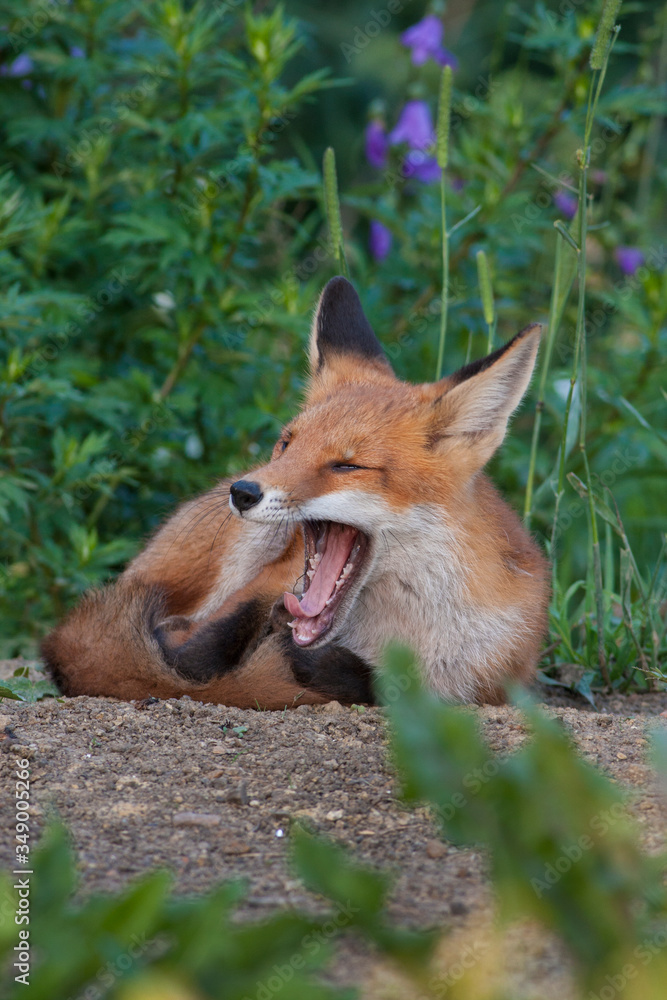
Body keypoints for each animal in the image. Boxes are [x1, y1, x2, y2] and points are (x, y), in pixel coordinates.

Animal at [43, 276, 550, 709]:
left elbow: (389, 689)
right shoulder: (271, 582)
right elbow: (193, 653)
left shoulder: (484, 681)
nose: (243, 492)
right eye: (286, 444)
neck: (391, 634)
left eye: (347, 466)